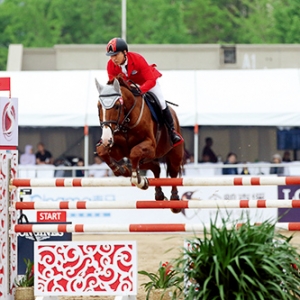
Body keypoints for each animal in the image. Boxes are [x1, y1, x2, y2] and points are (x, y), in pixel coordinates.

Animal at [95, 74, 184, 213]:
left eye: (117, 106)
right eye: (99, 106)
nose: (105, 139)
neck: (127, 120)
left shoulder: (150, 146)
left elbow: (134, 152)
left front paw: (137, 179)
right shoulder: (118, 150)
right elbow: (103, 151)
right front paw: (122, 170)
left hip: (174, 153)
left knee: (174, 173)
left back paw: (175, 201)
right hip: (147, 159)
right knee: (155, 167)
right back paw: (158, 194)